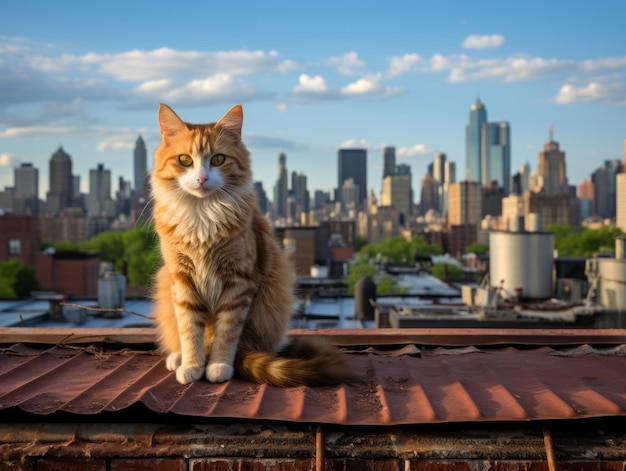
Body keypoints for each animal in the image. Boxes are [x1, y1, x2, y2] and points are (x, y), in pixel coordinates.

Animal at [149, 103, 354, 388]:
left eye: (218, 159)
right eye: (185, 160)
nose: (201, 179)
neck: (202, 216)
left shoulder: (239, 282)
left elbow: (227, 332)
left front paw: (219, 365)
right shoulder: (182, 279)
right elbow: (189, 329)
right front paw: (192, 364)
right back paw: (178, 357)